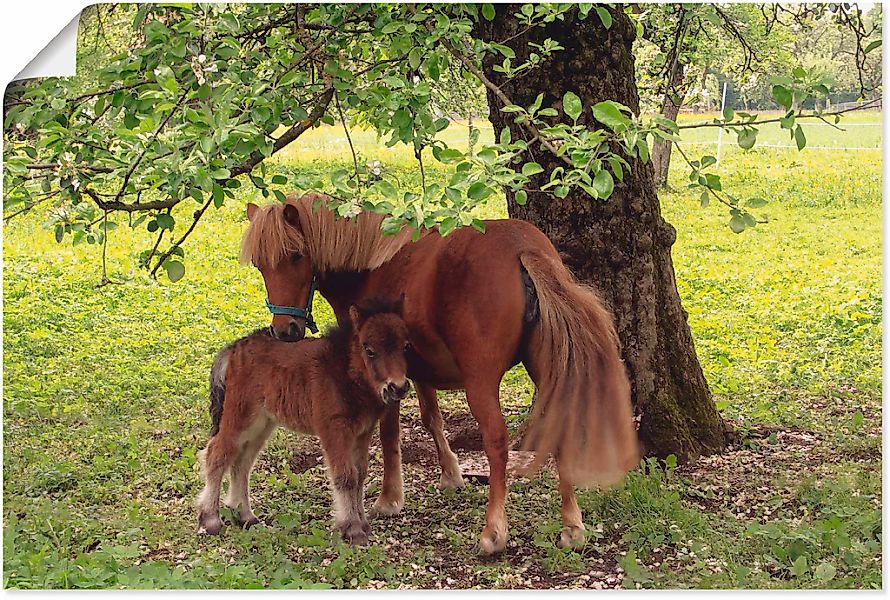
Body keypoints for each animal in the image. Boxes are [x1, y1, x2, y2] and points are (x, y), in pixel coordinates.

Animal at [239, 192, 636, 552]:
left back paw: (493, 532)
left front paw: (389, 498)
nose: (285, 331)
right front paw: (450, 474)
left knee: (496, 443)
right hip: (547, 370)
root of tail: (523, 249)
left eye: (295, 255)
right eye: (259, 265)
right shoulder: (417, 371)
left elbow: (390, 434)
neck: (372, 266)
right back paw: (572, 527)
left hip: (480, 383)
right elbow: (432, 418)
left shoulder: (384, 378)